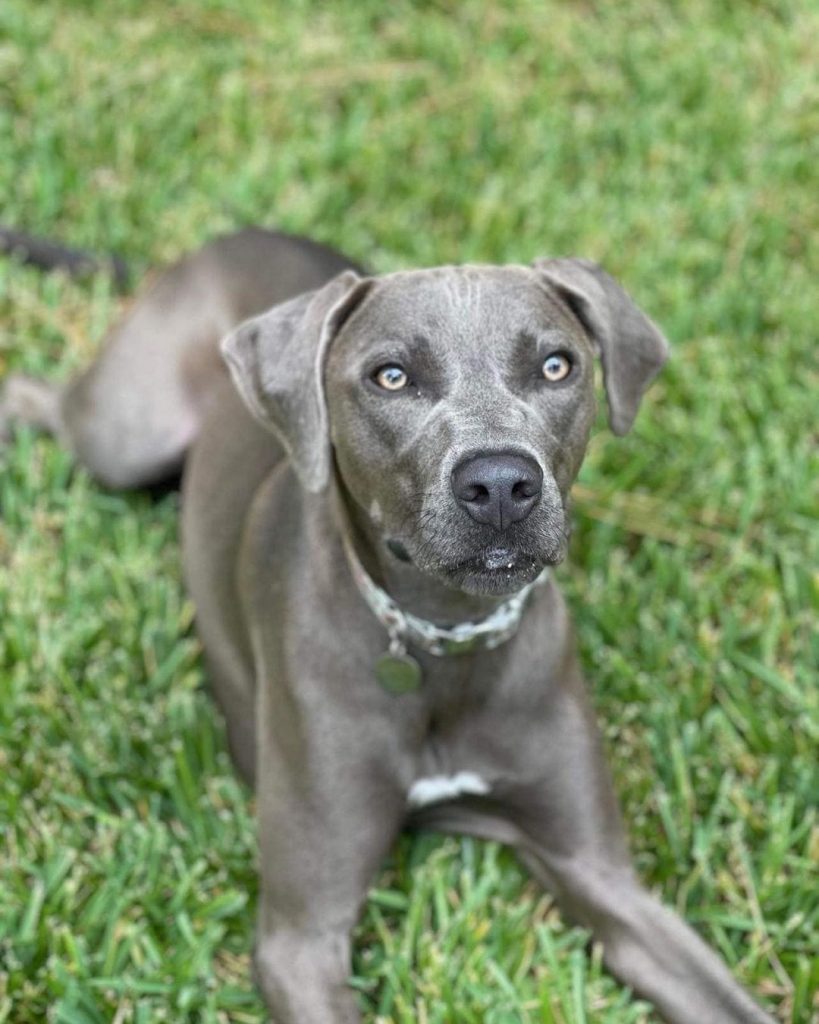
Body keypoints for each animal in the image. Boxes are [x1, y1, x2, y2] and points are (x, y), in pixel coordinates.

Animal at [0, 228, 778, 1019]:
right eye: (392, 377)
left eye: (557, 365)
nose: (501, 484)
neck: (444, 635)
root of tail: (242, 236)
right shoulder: (301, 937)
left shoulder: (602, 876)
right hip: (126, 434)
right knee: (35, 394)